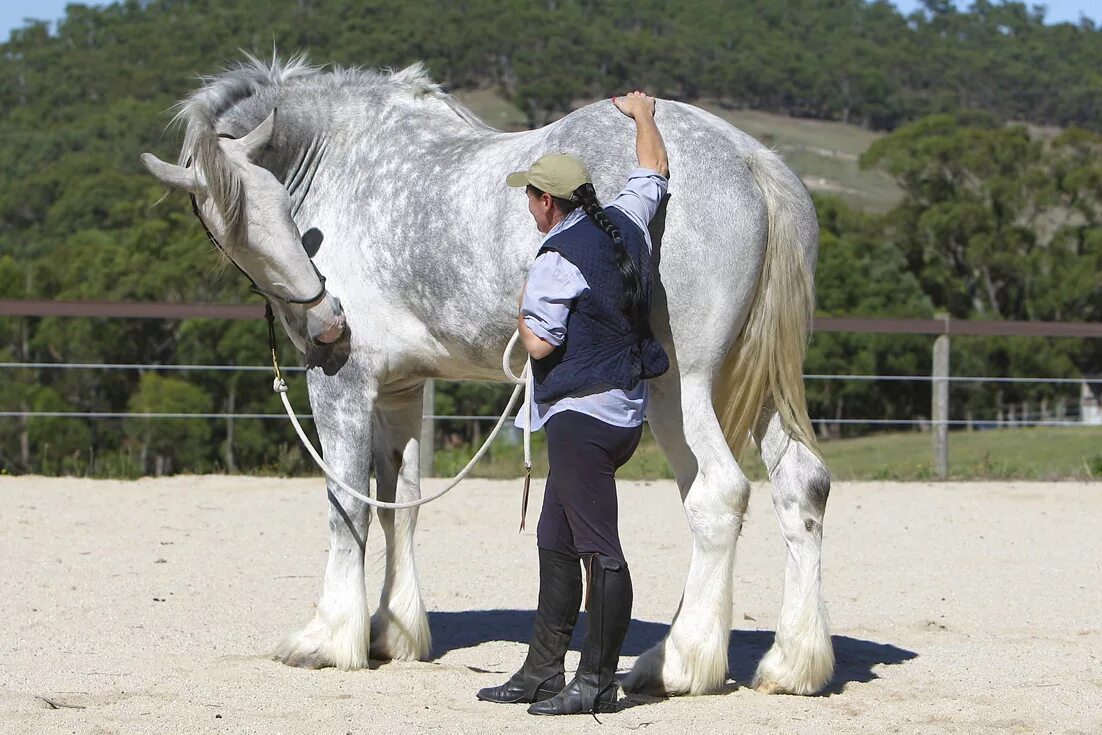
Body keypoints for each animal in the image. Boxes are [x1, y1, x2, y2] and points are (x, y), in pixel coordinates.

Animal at [144, 56, 833, 696]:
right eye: (234, 225)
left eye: (279, 208)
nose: (328, 325)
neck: (342, 158)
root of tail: (747, 158)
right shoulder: (401, 389)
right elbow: (400, 505)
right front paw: (394, 633)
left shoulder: (344, 384)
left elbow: (348, 507)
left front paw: (327, 638)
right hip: (758, 390)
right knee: (801, 488)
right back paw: (791, 664)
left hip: (677, 390)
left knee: (716, 496)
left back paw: (679, 663)